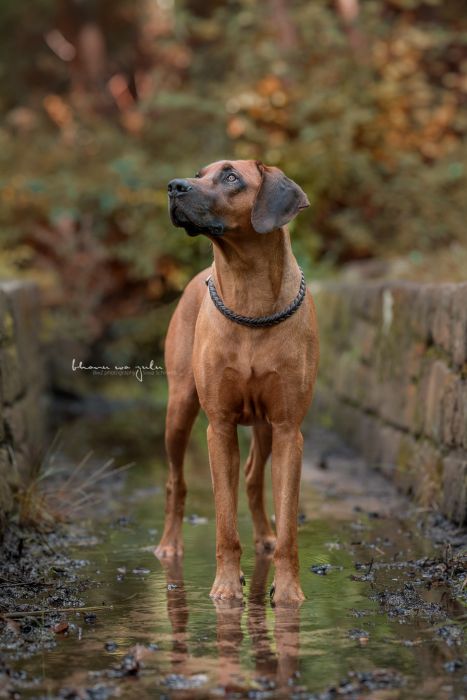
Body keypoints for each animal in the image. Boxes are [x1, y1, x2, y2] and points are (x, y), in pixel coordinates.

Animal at [155, 161, 320, 604]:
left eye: (231, 177)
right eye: (200, 173)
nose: (174, 186)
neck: (250, 294)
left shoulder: (288, 429)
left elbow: (290, 526)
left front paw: (288, 591)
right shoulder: (221, 427)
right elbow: (225, 523)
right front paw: (227, 588)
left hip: (264, 427)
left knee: (252, 477)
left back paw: (265, 536)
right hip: (179, 409)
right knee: (175, 483)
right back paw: (169, 544)